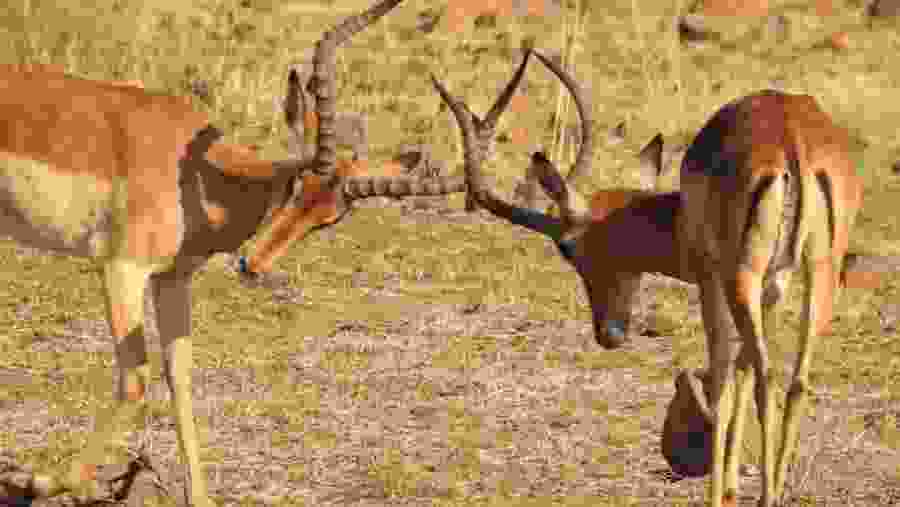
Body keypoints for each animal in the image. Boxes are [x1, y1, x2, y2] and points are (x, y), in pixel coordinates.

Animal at [0, 1, 464, 505]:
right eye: (297, 180)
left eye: (329, 219)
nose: (253, 264)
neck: (196, 178)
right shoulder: (121, 268)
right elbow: (135, 377)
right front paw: (34, 481)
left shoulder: (171, 278)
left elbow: (178, 374)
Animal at [435, 47, 867, 506]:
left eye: (566, 247)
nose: (608, 334)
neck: (676, 218)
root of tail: (794, 141)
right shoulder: (772, 287)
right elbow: (742, 369)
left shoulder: (711, 280)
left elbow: (724, 377)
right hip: (820, 271)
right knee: (796, 381)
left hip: (742, 278)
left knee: (765, 379)